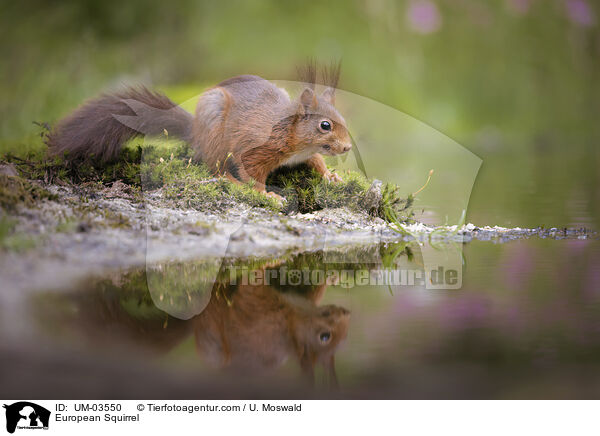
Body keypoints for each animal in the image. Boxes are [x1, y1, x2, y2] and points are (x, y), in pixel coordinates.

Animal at [47, 63, 352, 200]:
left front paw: (331, 176)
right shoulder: (254, 148)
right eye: (325, 125)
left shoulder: (305, 154)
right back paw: (231, 181)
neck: (294, 139)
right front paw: (267, 195)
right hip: (215, 130)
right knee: (214, 167)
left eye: (343, 118)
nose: (348, 147)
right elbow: (251, 171)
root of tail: (195, 131)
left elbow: (317, 161)